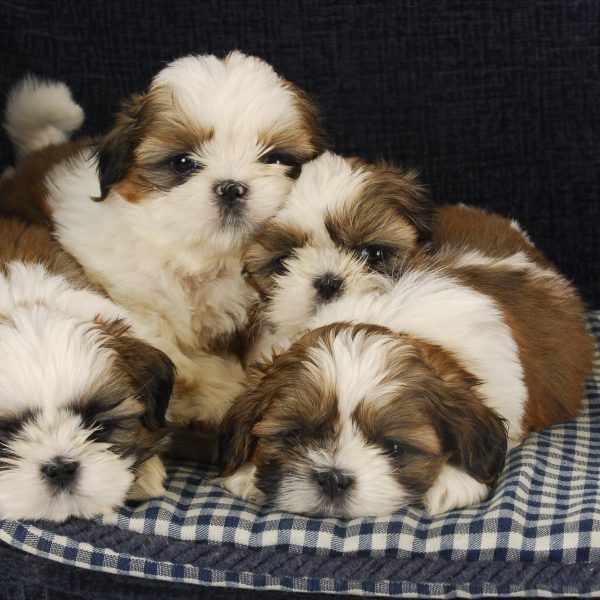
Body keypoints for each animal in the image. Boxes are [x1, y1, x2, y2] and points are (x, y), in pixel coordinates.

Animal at [0, 51, 326, 434]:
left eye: (274, 158)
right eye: (183, 163)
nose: (232, 187)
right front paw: (206, 391)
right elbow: (161, 339)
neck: (193, 253)